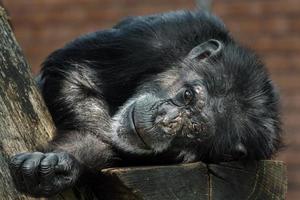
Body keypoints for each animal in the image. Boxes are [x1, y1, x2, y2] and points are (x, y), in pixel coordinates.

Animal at [8, 10, 282, 196]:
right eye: (188, 96)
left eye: (195, 130)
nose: (167, 120)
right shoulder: (158, 36)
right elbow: (75, 74)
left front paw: (66, 162)